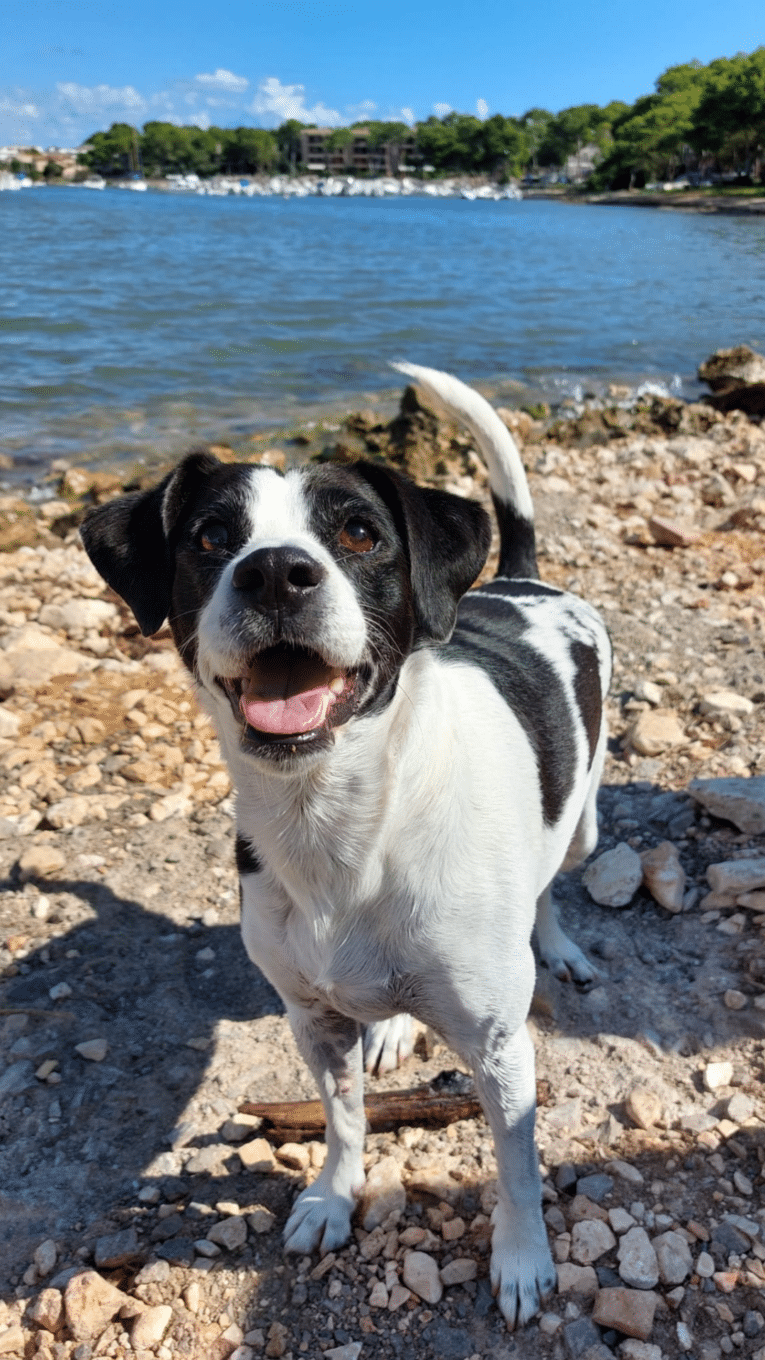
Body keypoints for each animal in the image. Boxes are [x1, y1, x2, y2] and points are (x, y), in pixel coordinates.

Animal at [80, 364, 609, 1327]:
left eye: (359, 532)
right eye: (212, 537)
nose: (274, 574)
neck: (341, 821)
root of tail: (521, 581)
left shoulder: (500, 1047)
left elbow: (515, 1165)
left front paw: (521, 1262)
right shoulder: (311, 1019)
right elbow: (344, 1117)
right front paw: (332, 1197)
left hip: (583, 819)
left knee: (552, 879)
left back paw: (556, 945)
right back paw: (396, 1024)